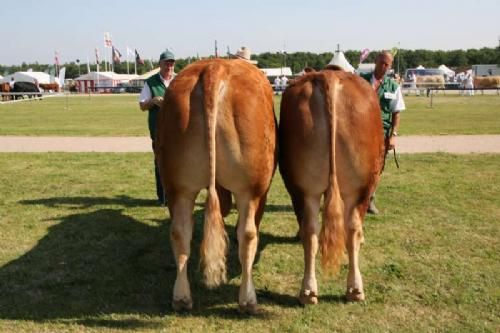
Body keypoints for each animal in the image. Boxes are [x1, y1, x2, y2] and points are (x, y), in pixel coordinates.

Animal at [156, 58, 278, 312]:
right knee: (248, 234)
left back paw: (181, 298)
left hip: (177, 185)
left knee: (180, 232)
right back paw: (248, 300)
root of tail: (214, 67)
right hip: (251, 187)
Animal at [280, 69, 384, 304]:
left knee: (311, 230)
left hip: (303, 188)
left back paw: (310, 291)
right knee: (352, 228)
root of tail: (328, 76)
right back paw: (353, 289)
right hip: (362, 187)